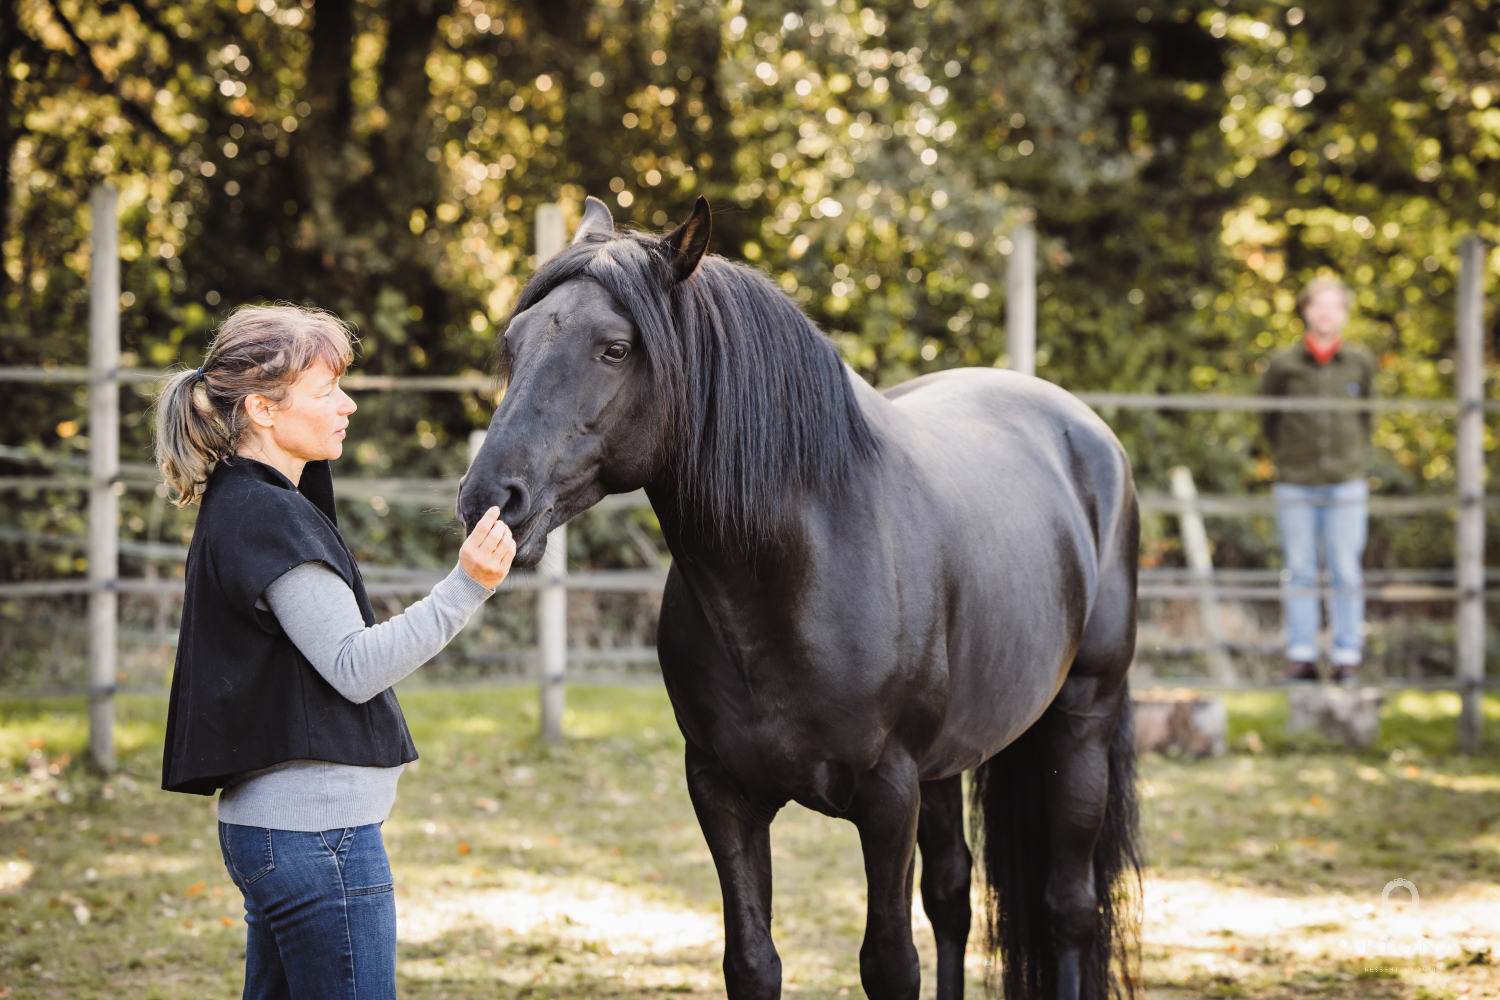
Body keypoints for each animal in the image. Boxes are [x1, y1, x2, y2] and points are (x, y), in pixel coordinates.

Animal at [459, 196, 1142, 1000]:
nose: (489, 499)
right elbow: (753, 961)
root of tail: (1086, 430)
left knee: (1068, 908)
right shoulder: (721, 792)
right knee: (953, 896)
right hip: (949, 763)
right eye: (514, 343)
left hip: (1081, 721)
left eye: (616, 348)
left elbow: (889, 962)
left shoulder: (889, 798)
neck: (796, 579)